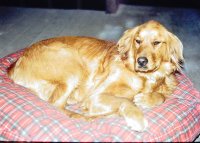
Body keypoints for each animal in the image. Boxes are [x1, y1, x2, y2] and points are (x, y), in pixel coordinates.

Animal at [7, 20, 183, 132]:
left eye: (156, 43)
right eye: (138, 41)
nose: (141, 61)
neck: (144, 77)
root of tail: (16, 63)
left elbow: (161, 96)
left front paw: (146, 99)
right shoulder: (95, 96)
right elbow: (125, 100)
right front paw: (137, 117)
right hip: (71, 63)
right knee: (55, 105)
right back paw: (83, 116)